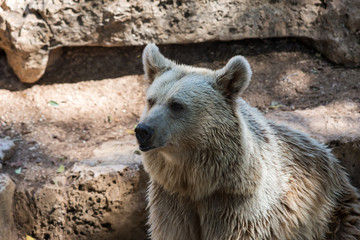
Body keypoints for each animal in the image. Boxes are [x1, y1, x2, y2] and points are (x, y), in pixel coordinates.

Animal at [135, 43, 360, 240]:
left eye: (176, 105)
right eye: (151, 100)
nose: (142, 130)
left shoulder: (238, 207)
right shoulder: (171, 200)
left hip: (330, 211)